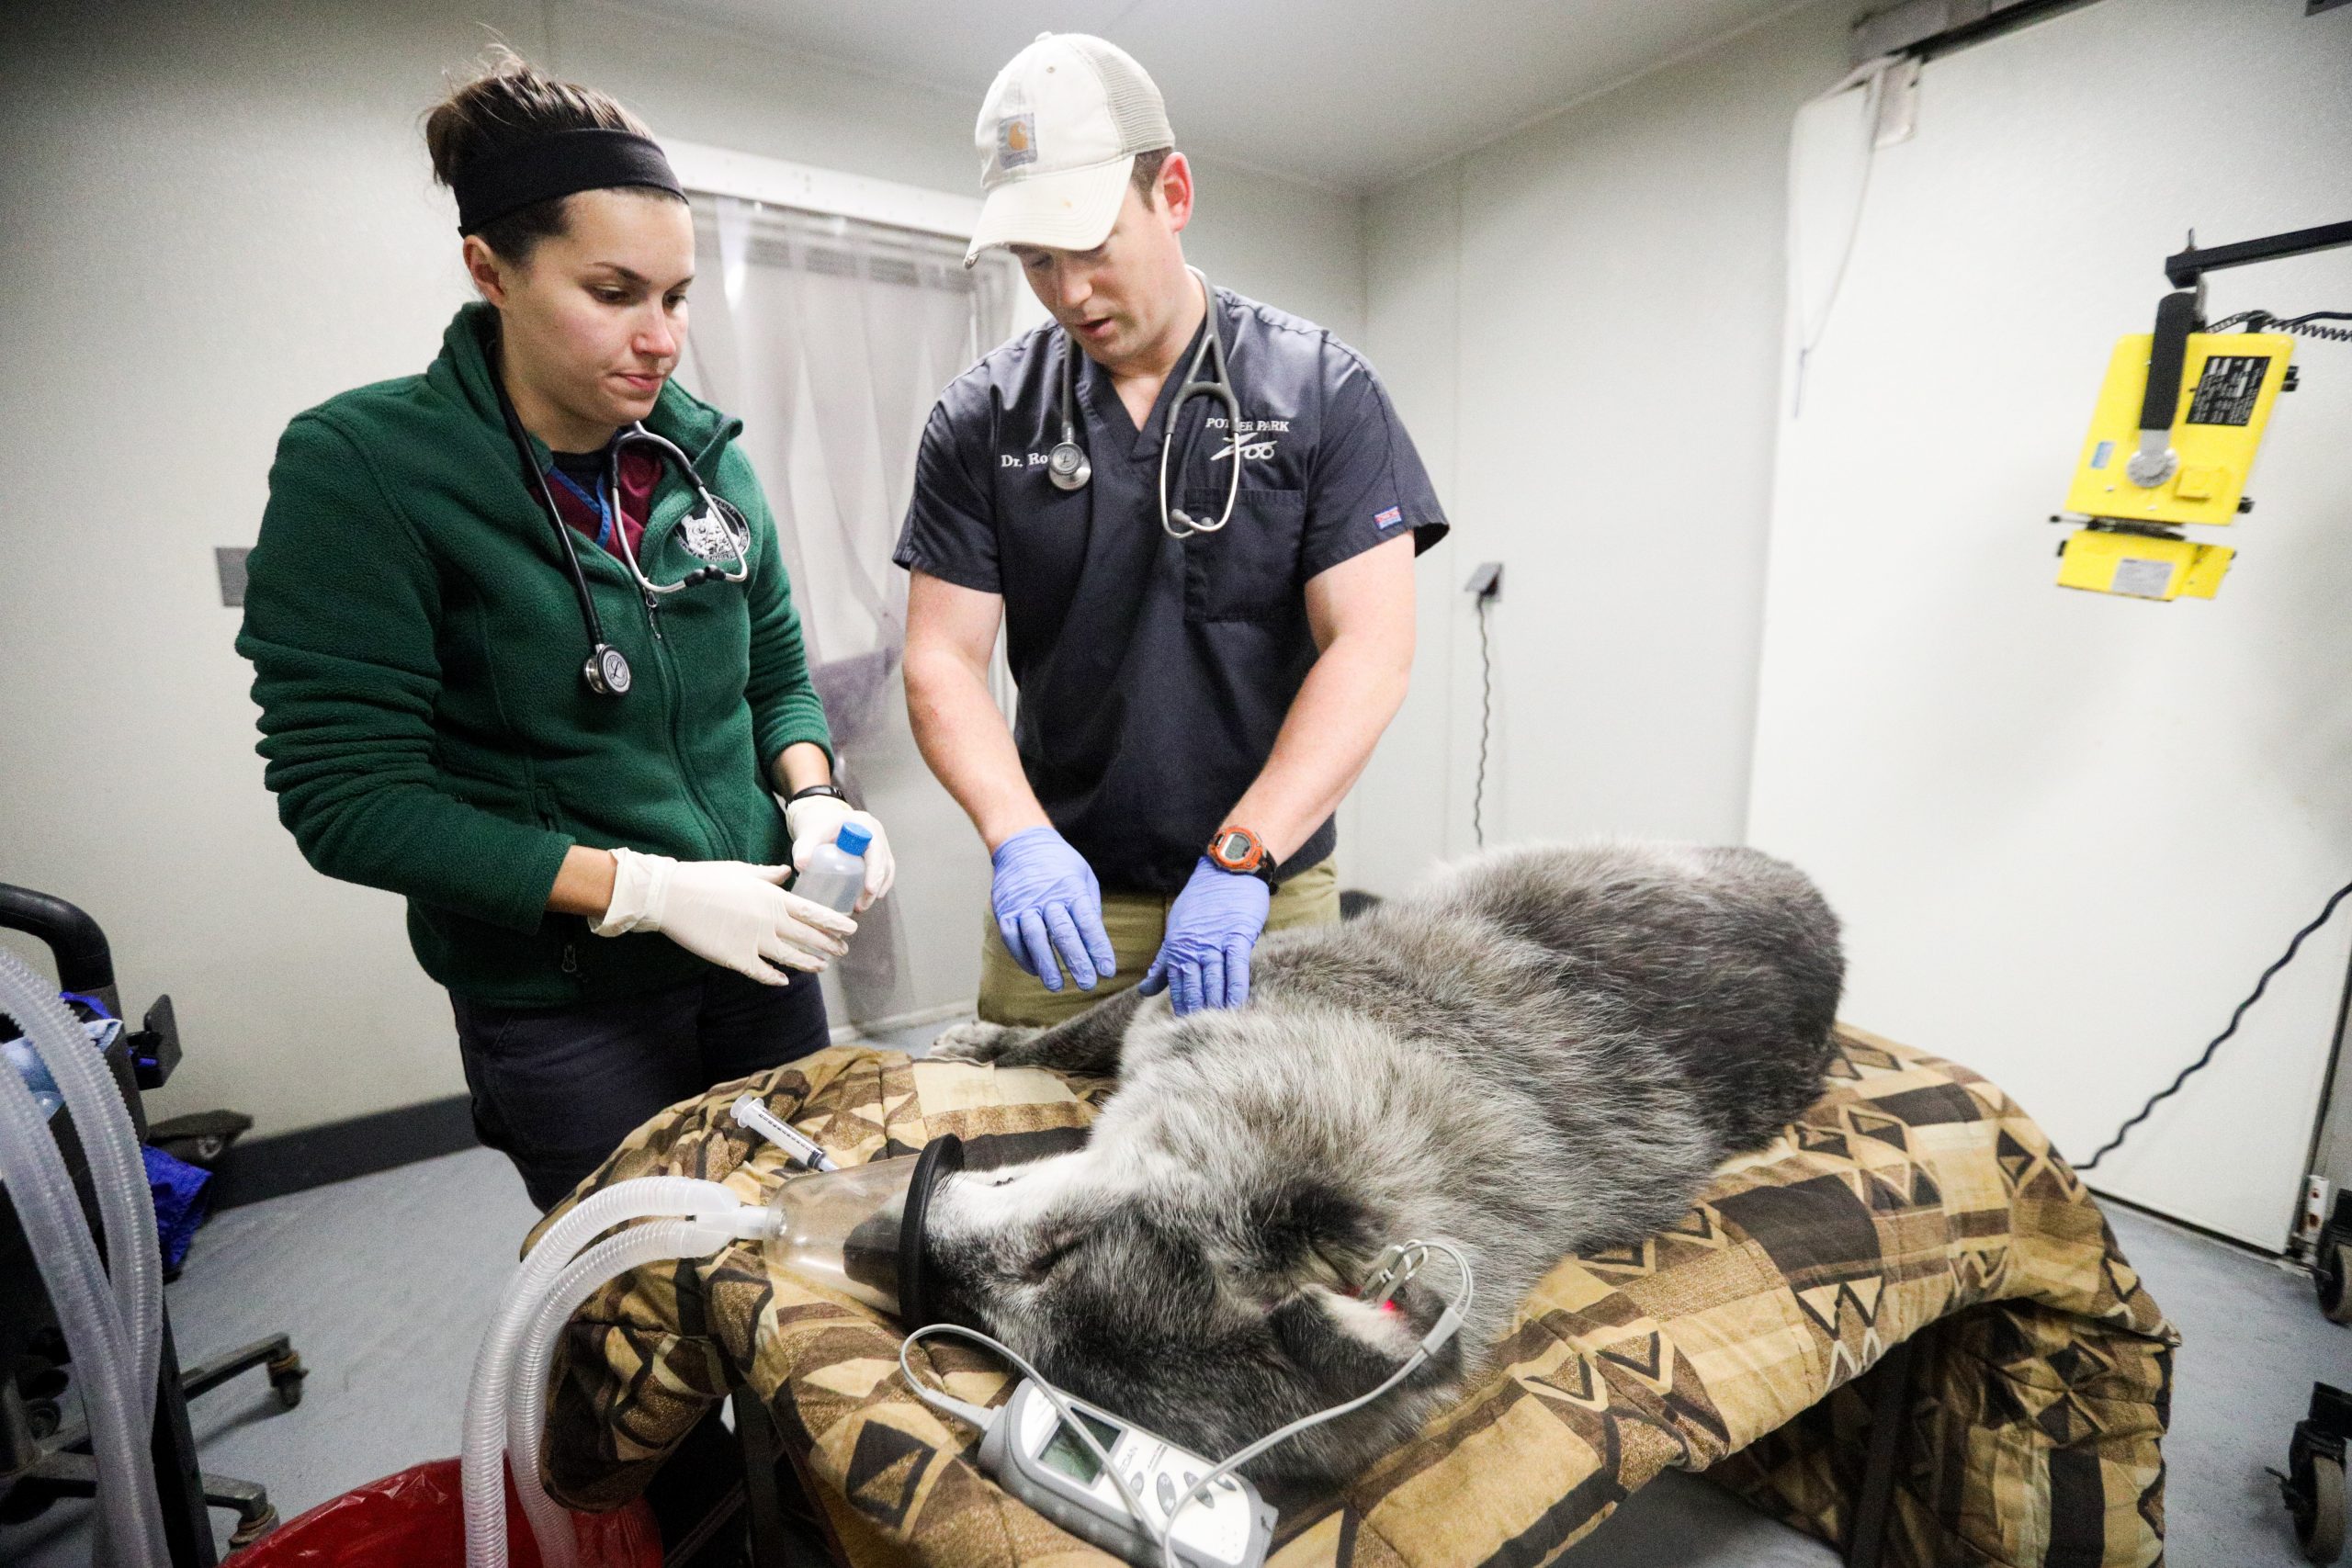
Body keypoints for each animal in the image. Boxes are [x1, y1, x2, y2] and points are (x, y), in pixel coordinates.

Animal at [917, 841, 1834, 1476]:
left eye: (1051, 1263)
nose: (902, 1248)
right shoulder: (1174, 998)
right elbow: (1060, 1034)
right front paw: (989, 1042)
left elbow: (1070, 1032)